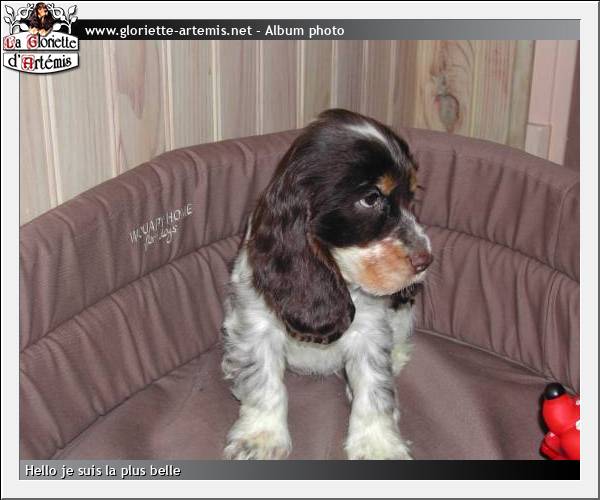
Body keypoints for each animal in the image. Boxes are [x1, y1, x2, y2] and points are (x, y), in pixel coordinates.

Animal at [221, 108, 432, 460]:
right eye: (371, 198)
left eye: (411, 195)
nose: (426, 259)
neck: (335, 273)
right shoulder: (257, 324)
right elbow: (264, 383)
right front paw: (261, 438)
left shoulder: (370, 333)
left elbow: (375, 389)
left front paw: (379, 446)